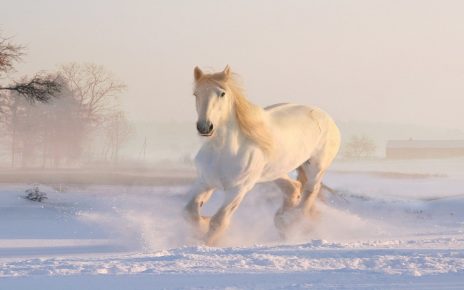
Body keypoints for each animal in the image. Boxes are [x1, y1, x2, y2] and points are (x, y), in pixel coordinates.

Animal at [184, 65, 340, 245]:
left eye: (222, 93)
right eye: (196, 94)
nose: (204, 127)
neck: (222, 152)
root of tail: (325, 116)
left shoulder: (238, 189)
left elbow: (218, 221)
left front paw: (206, 241)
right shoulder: (205, 182)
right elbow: (189, 212)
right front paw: (202, 225)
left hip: (316, 167)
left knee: (310, 192)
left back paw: (291, 221)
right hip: (275, 171)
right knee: (293, 188)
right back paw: (283, 222)